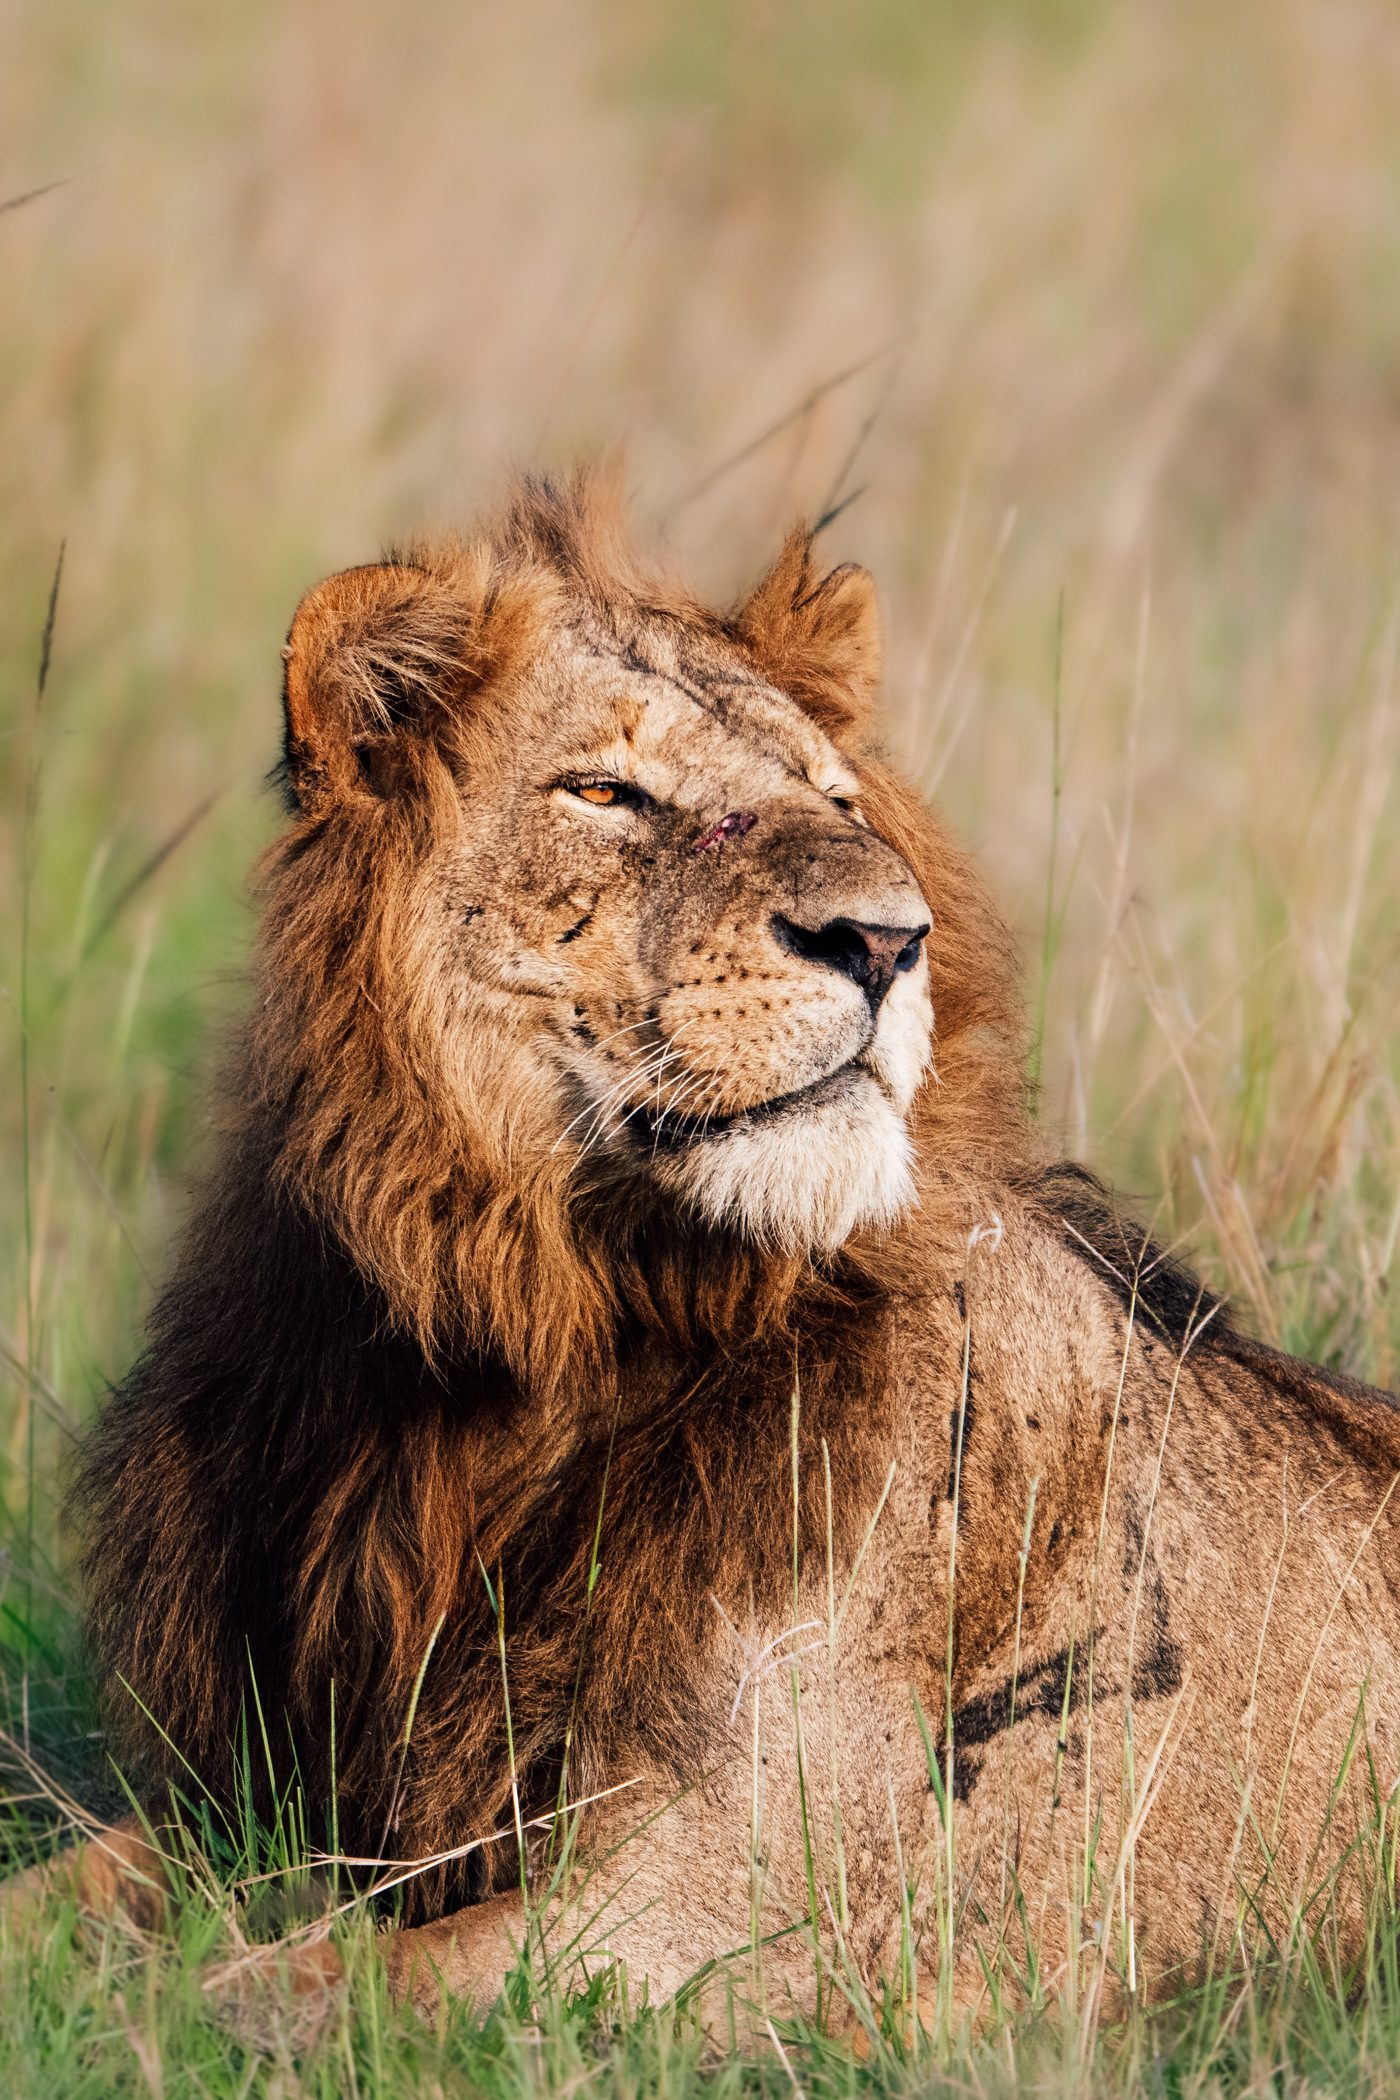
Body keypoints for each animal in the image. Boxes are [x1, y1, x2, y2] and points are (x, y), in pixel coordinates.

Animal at [18, 467, 1400, 2029]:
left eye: (838, 801)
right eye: (606, 793)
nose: (886, 940)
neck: (532, 1346)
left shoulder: (741, 1908)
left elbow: (298, 1986)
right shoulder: (256, 1801)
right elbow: (67, 1902)